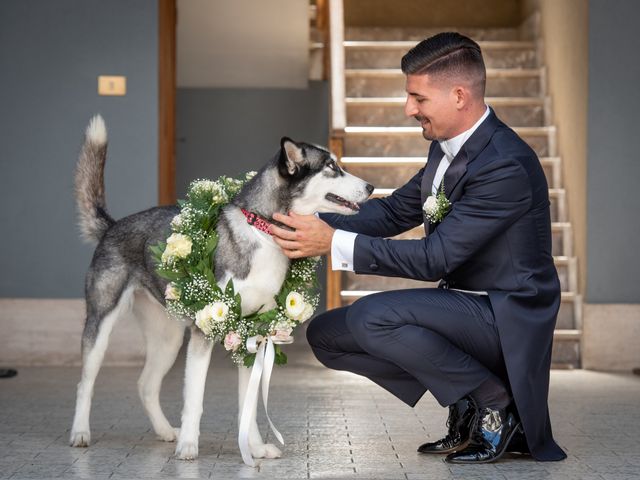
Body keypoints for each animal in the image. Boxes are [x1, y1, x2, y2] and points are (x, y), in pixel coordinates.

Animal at [69, 115, 376, 462]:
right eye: (331, 167)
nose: (371, 187)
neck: (263, 231)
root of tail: (113, 225)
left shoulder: (252, 332)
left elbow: (248, 403)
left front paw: (253, 447)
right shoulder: (205, 329)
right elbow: (194, 398)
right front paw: (189, 446)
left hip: (168, 339)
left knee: (145, 384)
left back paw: (164, 431)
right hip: (101, 324)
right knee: (85, 383)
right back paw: (80, 432)